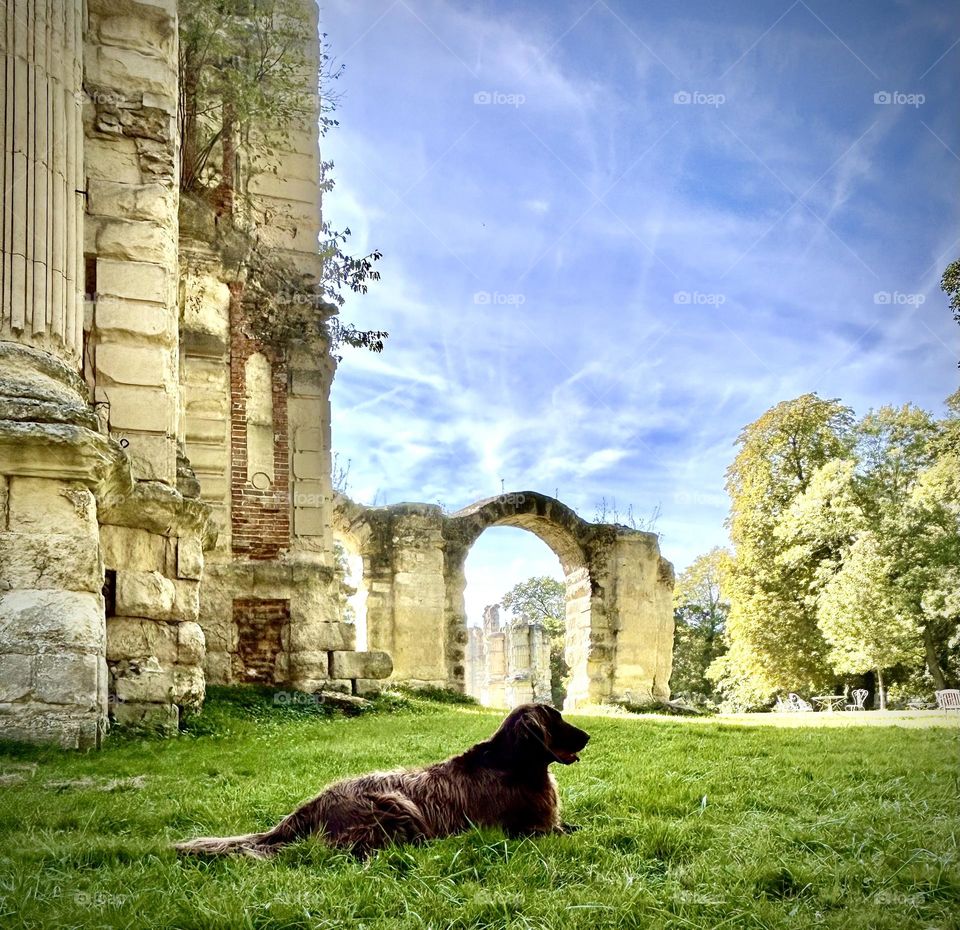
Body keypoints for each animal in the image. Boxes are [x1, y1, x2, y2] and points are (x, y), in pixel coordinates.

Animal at [175, 704, 588, 856]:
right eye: (557, 718)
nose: (587, 736)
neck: (513, 765)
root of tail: (310, 806)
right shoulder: (533, 831)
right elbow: (569, 832)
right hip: (395, 807)